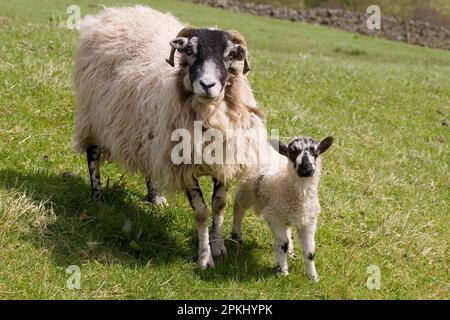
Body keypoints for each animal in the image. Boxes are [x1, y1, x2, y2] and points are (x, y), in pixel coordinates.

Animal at [72, 6, 266, 268]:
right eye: (190, 51)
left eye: (229, 55)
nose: (207, 85)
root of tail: (117, 12)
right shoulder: (183, 165)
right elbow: (202, 212)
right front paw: (204, 258)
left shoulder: (224, 158)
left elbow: (219, 205)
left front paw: (218, 246)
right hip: (93, 115)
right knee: (92, 155)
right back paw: (98, 197)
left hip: (150, 135)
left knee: (150, 162)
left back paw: (155, 197)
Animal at [232, 136, 334, 282]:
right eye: (292, 153)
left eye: (316, 153)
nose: (306, 169)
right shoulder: (275, 217)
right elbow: (282, 244)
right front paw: (283, 271)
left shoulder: (309, 222)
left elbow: (310, 250)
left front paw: (313, 277)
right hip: (246, 188)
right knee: (239, 207)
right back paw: (236, 236)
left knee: (287, 230)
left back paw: (291, 251)